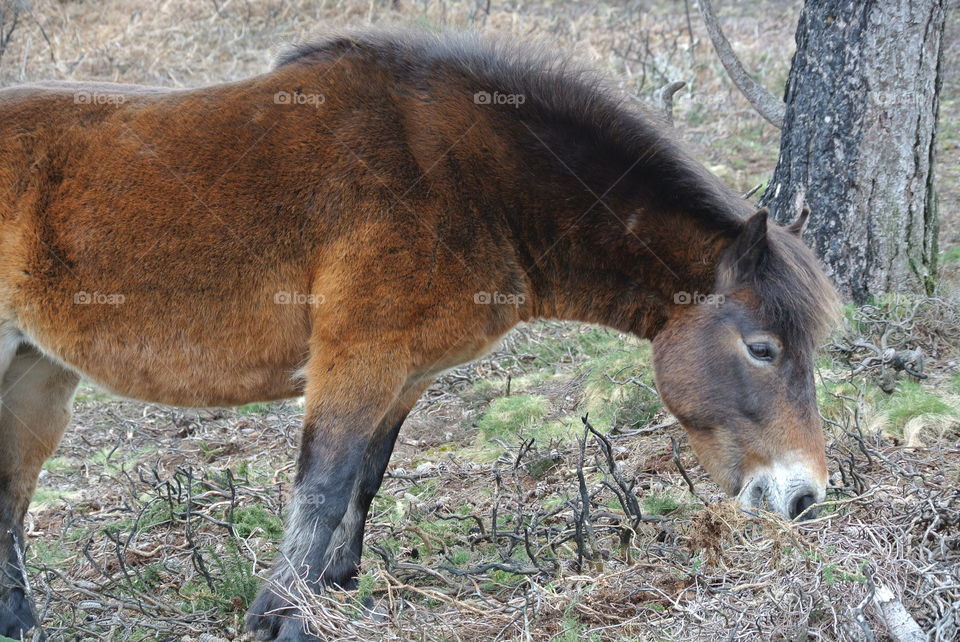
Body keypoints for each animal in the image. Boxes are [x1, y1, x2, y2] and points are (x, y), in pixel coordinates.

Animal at [0, 29, 837, 641]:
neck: (466, 177)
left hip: (36, 370)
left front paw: (335, 595)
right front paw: (281, 617)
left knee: (11, 491)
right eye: (762, 349)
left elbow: (363, 484)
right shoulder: (357, 360)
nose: (803, 497)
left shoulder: (407, 375)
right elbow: (323, 485)